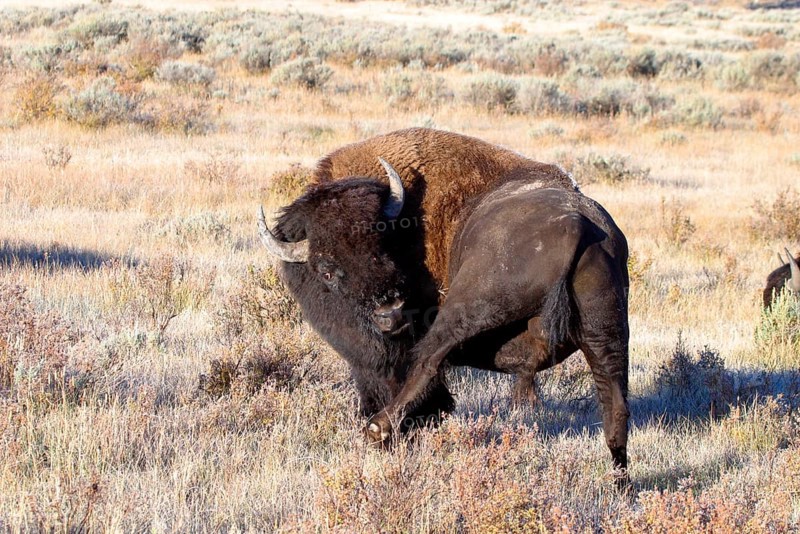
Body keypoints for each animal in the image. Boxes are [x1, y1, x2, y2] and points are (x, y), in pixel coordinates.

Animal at [258, 128, 630, 484]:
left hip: (472, 305)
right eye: (327, 270)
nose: (389, 313)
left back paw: (378, 429)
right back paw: (621, 485)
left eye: (384, 246)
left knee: (429, 359)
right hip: (606, 330)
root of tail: (575, 223)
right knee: (616, 405)